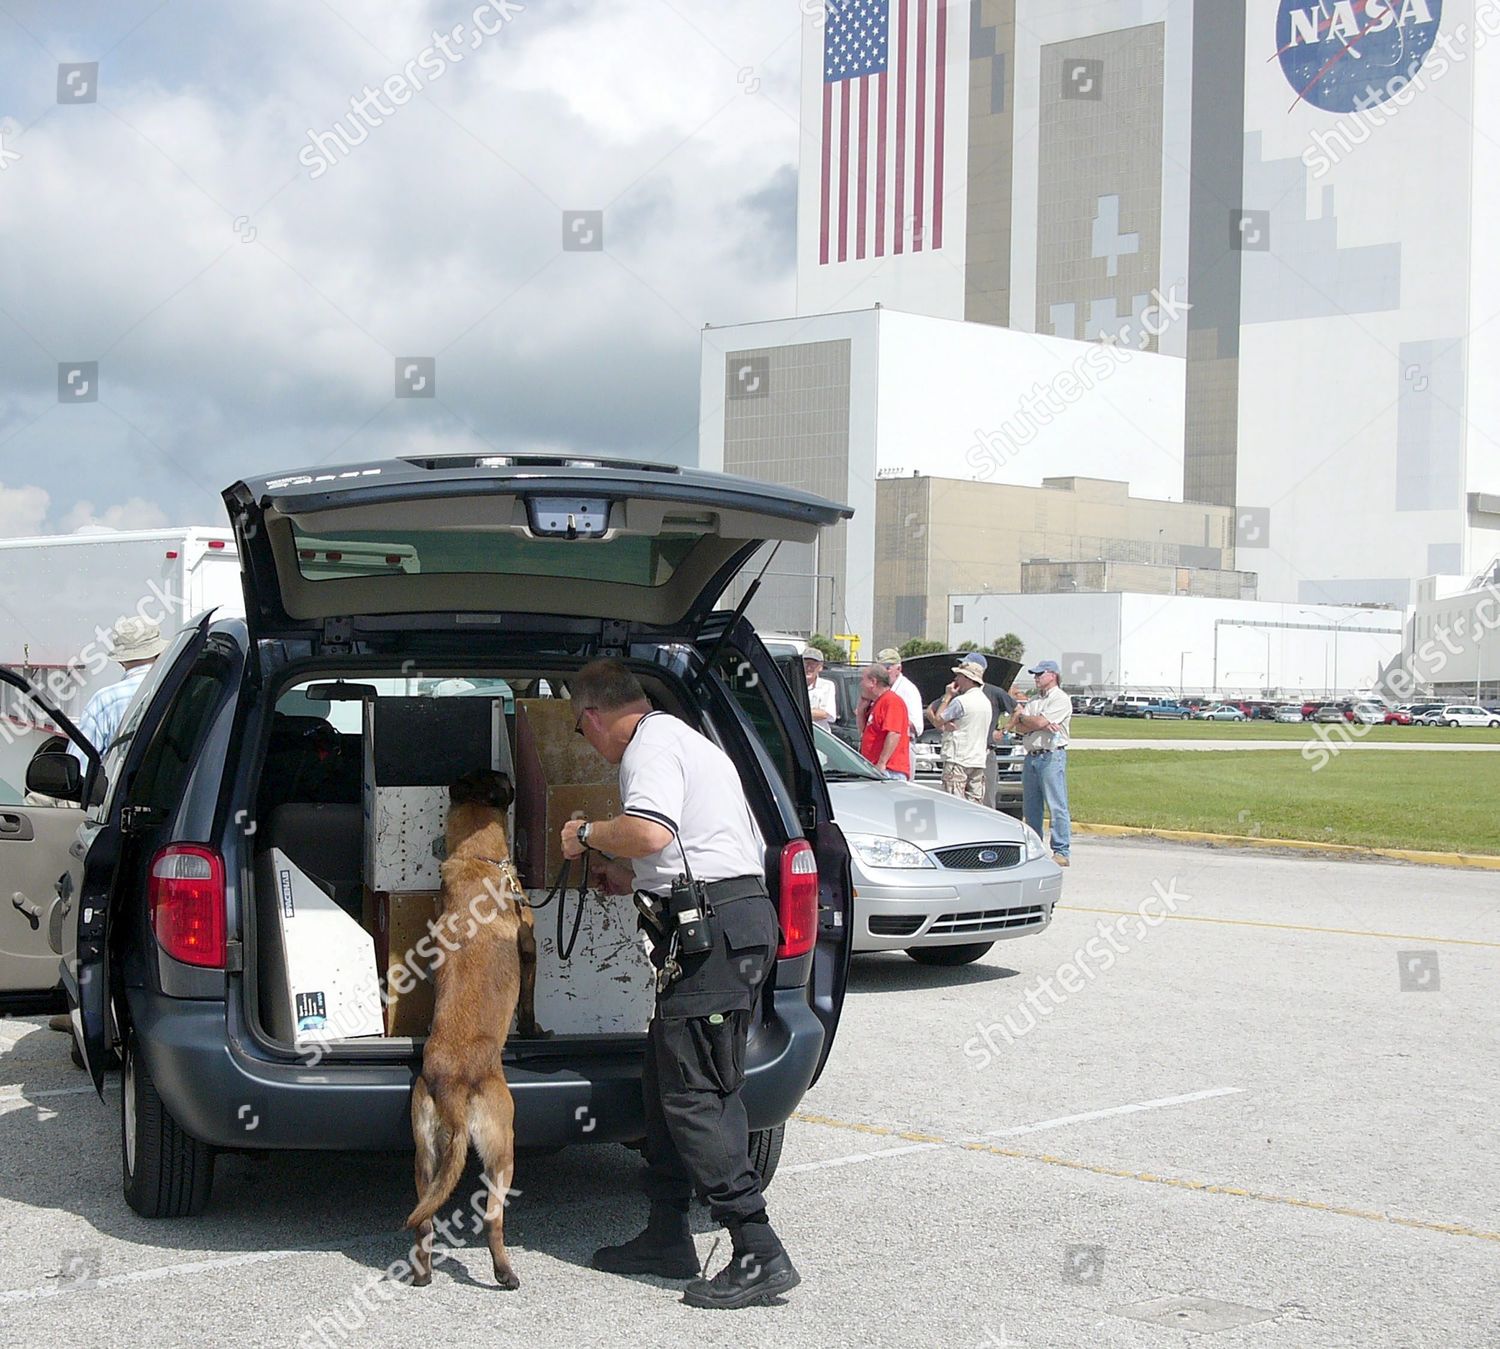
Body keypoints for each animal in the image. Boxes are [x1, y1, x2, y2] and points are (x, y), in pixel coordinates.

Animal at [408, 768, 543, 1284]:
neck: (477, 860)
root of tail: (451, 1087)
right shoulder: (530, 951)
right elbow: (529, 1005)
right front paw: (535, 1030)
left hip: (425, 1157)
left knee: (423, 1220)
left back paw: (423, 1273)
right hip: (502, 1145)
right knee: (491, 1218)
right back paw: (505, 1273)